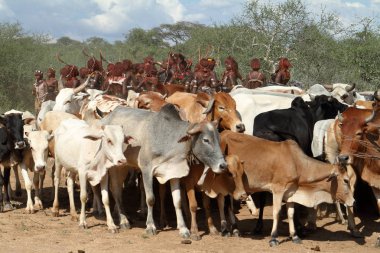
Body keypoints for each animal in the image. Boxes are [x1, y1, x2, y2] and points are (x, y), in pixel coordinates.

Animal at [100, 104, 229, 238]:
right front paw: (150, 226)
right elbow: (150, 199)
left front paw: (183, 229)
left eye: (219, 139)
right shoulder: (146, 171)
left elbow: (177, 201)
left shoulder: (174, 173)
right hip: (115, 167)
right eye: (206, 140)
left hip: (124, 167)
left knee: (118, 191)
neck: (167, 138)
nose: (223, 165)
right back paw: (123, 221)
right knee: (115, 190)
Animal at [220, 130, 356, 247]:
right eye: (345, 180)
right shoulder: (278, 190)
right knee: (223, 204)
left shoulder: (291, 192)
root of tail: (223, 133)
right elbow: (277, 212)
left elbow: (291, 213)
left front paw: (295, 236)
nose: (353, 201)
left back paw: (233, 229)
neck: (297, 164)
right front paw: (273, 238)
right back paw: (228, 230)